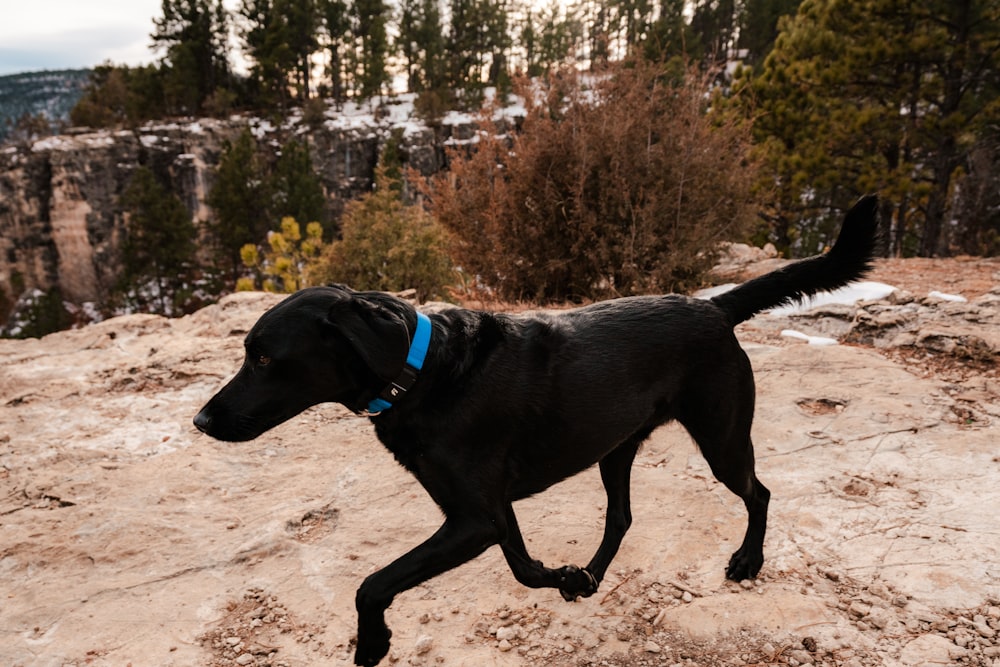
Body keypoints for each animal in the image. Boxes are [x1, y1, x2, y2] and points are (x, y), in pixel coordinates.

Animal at [191, 196, 880, 664]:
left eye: (263, 358)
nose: (199, 420)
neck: (423, 371)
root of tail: (713, 305)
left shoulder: (471, 519)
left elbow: (373, 584)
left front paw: (371, 644)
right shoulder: (490, 512)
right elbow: (522, 566)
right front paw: (567, 578)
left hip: (722, 438)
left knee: (758, 492)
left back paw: (747, 561)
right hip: (615, 447)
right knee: (621, 517)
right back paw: (595, 575)